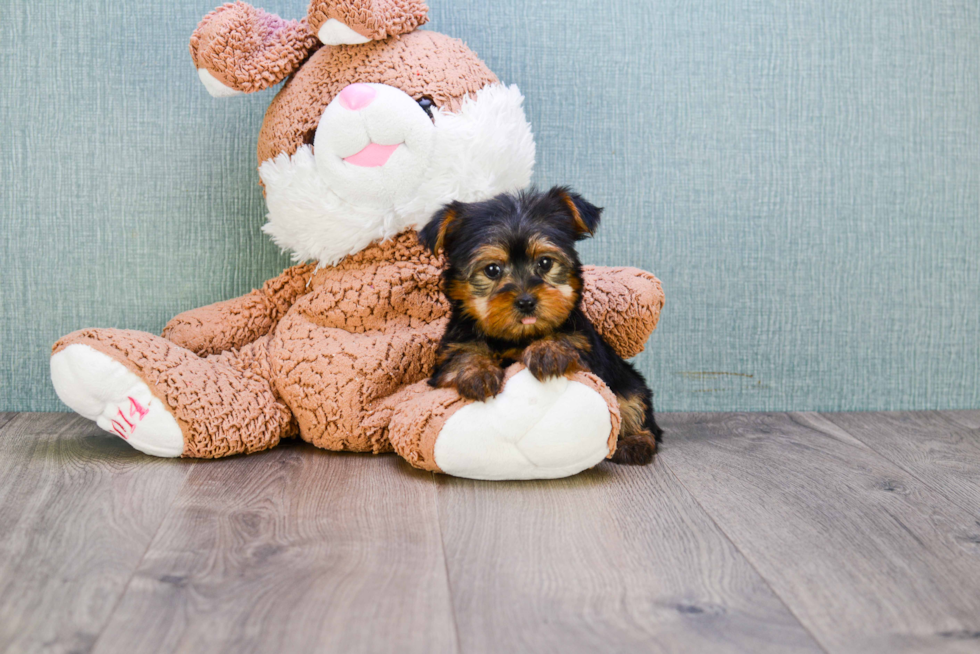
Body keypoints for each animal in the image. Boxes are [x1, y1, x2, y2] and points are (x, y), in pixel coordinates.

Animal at [418, 184, 664, 466]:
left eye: (545, 262)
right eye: (492, 270)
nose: (526, 301)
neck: (518, 336)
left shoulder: (586, 347)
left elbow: (567, 338)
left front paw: (548, 351)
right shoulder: (452, 346)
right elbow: (463, 352)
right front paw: (477, 372)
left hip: (628, 382)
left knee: (638, 410)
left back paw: (635, 444)